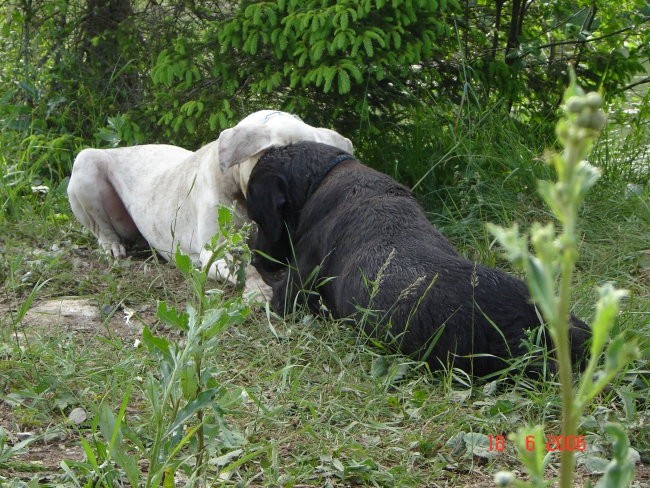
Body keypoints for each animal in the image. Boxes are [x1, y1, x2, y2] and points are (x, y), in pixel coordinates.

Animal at [67, 110, 352, 298]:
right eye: (278, 156)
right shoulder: (213, 252)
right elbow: (245, 268)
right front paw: (258, 288)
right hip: (86, 163)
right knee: (100, 228)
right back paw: (111, 246)